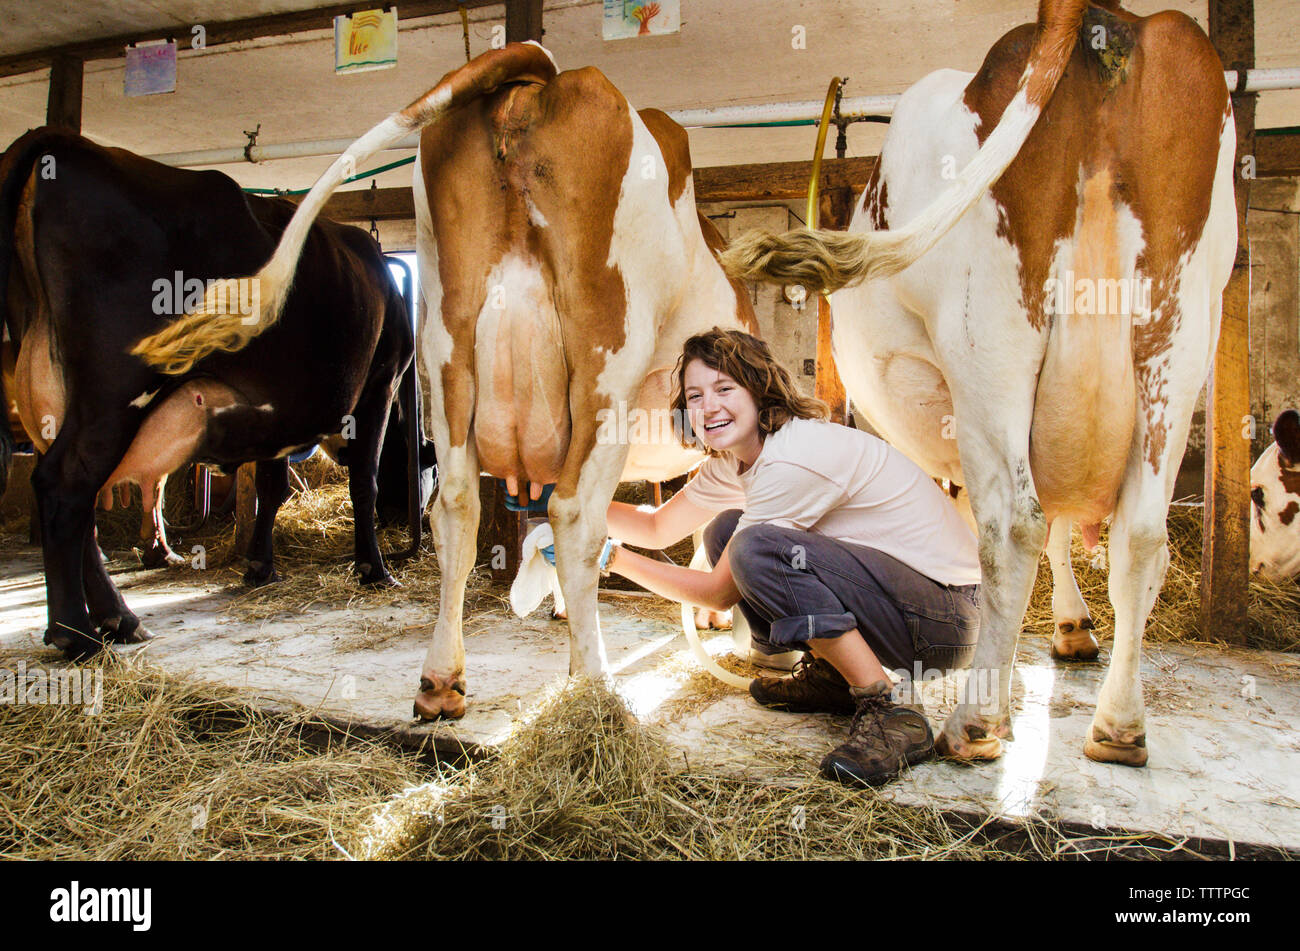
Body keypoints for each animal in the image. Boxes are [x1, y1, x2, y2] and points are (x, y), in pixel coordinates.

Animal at [135, 40, 759, 717]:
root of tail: (542, 75)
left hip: (447, 341)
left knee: (455, 507)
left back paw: (440, 680)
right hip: (606, 355)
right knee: (575, 516)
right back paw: (595, 688)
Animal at [728, 1, 1232, 774]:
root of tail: (1106, 17)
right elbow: (1056, 529)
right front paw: (1069, 629)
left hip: (987, 345)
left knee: (1016, 525)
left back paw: (975, 722)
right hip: (1177, 343)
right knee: (1142, 535)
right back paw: (1119, 726)